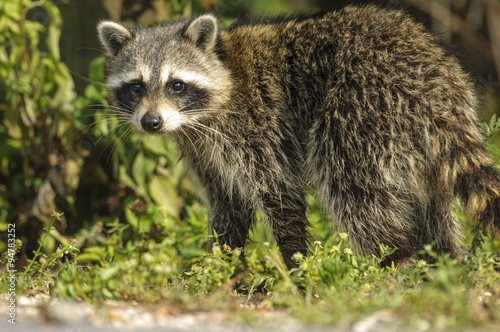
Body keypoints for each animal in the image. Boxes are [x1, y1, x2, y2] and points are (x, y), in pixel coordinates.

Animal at [97, 3, 500, 268]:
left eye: (176, 85)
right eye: (136, 87)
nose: (151, 122)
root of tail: (437, 81)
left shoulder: (256, 126)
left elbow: (280, 192)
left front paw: (296, 265)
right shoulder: (203, 150)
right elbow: (228, 204)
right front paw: (220, 268)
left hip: (361, 108)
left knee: (352, 189)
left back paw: (396, 258)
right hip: (413, 139)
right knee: (431, 208)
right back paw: (444, 264)